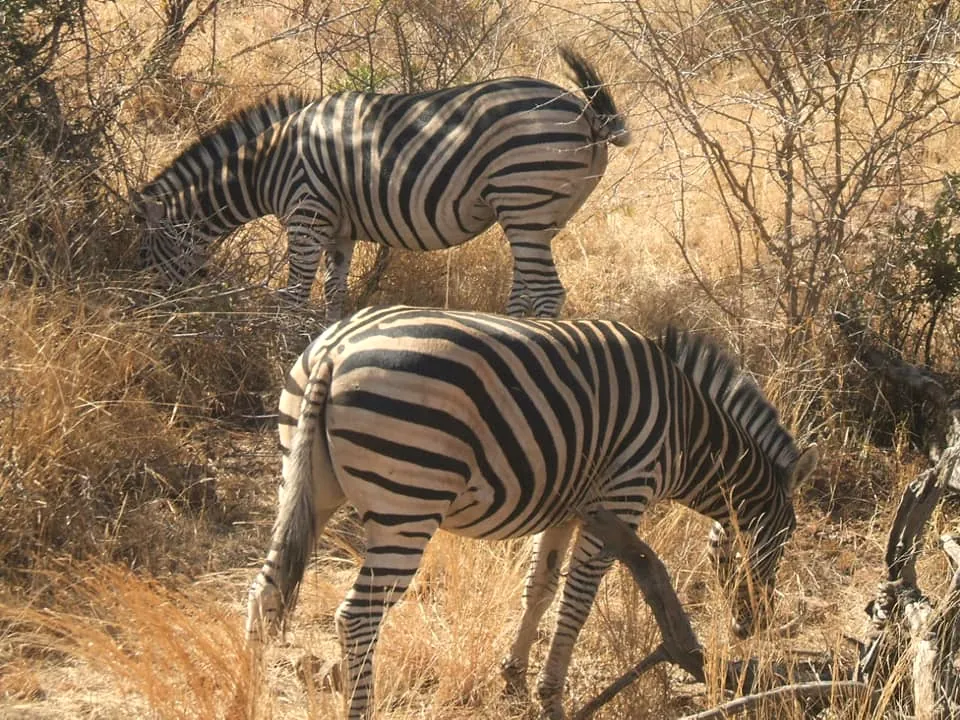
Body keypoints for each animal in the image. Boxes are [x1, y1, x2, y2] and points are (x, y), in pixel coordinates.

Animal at [131, 47, 630, 320]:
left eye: (145, 255)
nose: (145, 308)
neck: (266, 164)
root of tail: (586, 113)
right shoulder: (337, 230)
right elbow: (333, 293)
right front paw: (319, 342)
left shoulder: (306, 217)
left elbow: (295, 295)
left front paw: (280, 353)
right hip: (543, 216)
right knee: (526, 288)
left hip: (523, 197)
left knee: (546, 293)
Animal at [245, 305, 818, 719]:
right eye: (783, 539)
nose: (751, 626)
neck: (686, 428)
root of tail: (335, 349)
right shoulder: (621, 498)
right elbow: (577, 601)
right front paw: (552, 696)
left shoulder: (568, 507)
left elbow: (539, 589)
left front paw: (513, 677)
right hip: (407, 503)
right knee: (357, 617)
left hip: (306, 482)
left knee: (264, 592)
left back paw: (249, 694)